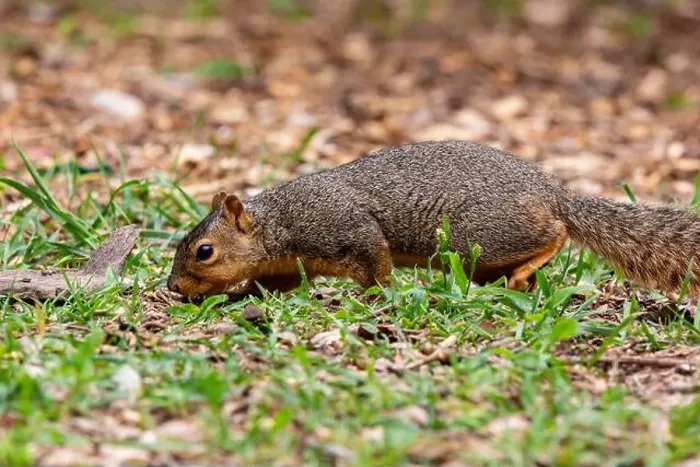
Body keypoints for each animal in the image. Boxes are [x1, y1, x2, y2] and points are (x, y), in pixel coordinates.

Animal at [167, 140, 699, 298]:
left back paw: (527, 269)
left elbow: (377, 263)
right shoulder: (287, 267)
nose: (173, 287)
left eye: (204, 251)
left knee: (557, 233)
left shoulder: (346, 228)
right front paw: (238, 295)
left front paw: (378, 295)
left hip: (480, 235)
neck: (278, 224)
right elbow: (271, 286)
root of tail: (553, 193)